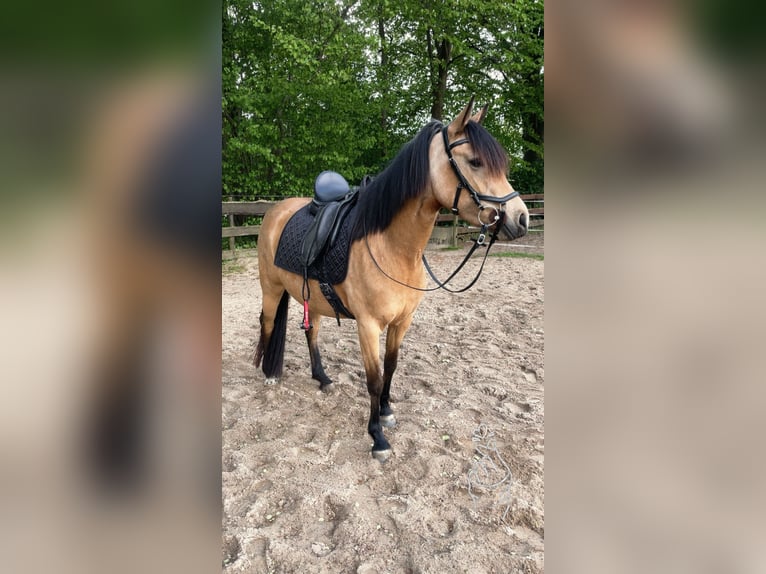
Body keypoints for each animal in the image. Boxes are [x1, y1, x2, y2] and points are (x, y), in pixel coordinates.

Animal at [254, 98, 529, 462]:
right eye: (475, 162)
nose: (521, 218)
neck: (392, 247)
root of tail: (275, 211)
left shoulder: (402, 322)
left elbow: (392, 367)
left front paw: (385, 412)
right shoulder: (368, 325)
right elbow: (373, 379)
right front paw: (378, 438)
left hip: (313, 298)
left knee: (311, 332)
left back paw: (323, 378)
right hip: (271, 290)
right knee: (268, 324)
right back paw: (266, 375)